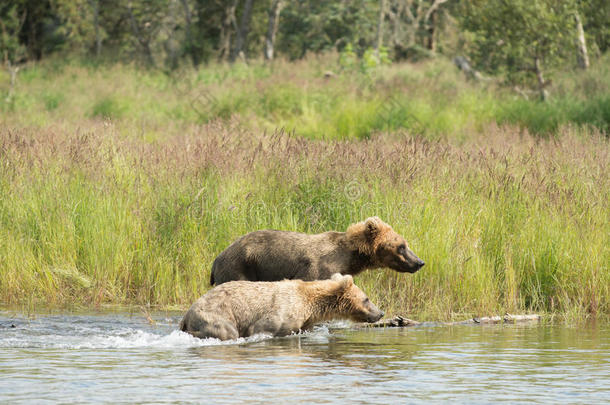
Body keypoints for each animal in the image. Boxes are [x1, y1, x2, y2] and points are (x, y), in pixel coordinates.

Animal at [178, 272, 382, 340]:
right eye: (367, 298)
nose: (380, 313)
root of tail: (186, 314)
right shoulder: (283, 310)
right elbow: (262, 327)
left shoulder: (305, 322)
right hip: (214, 314)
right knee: (228, 332)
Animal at [209, 216, 422, 286]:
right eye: (401, 246)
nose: (419, 262)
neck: (348, 259)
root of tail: (217, 258)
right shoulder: (317, 268)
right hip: (238, 267)